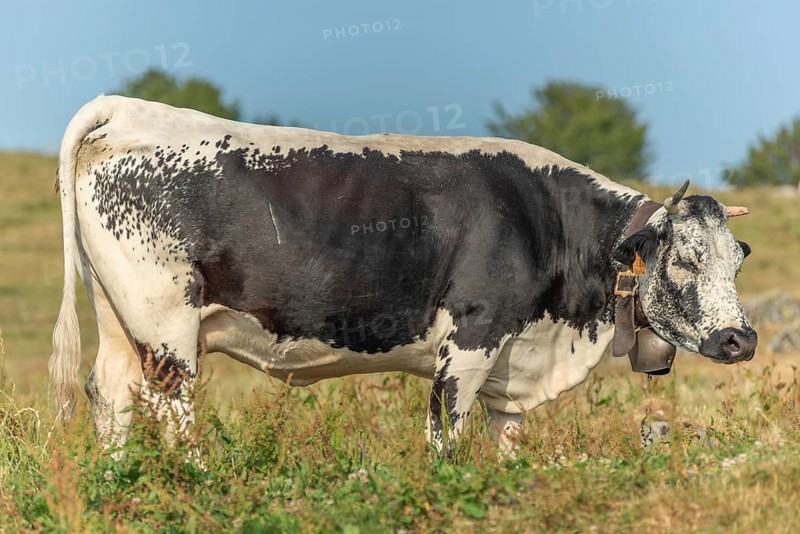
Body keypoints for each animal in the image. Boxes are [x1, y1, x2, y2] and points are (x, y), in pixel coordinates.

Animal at [49, 95, 757, 454]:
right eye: (686, 261)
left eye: (737, 259)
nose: (741, 339)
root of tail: (133, 110)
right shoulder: (471, 338)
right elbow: (444, 438)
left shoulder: (512, 363)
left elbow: (506, 445)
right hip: (168, 327)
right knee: (174, 413)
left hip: (121, 318)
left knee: (110, 396)